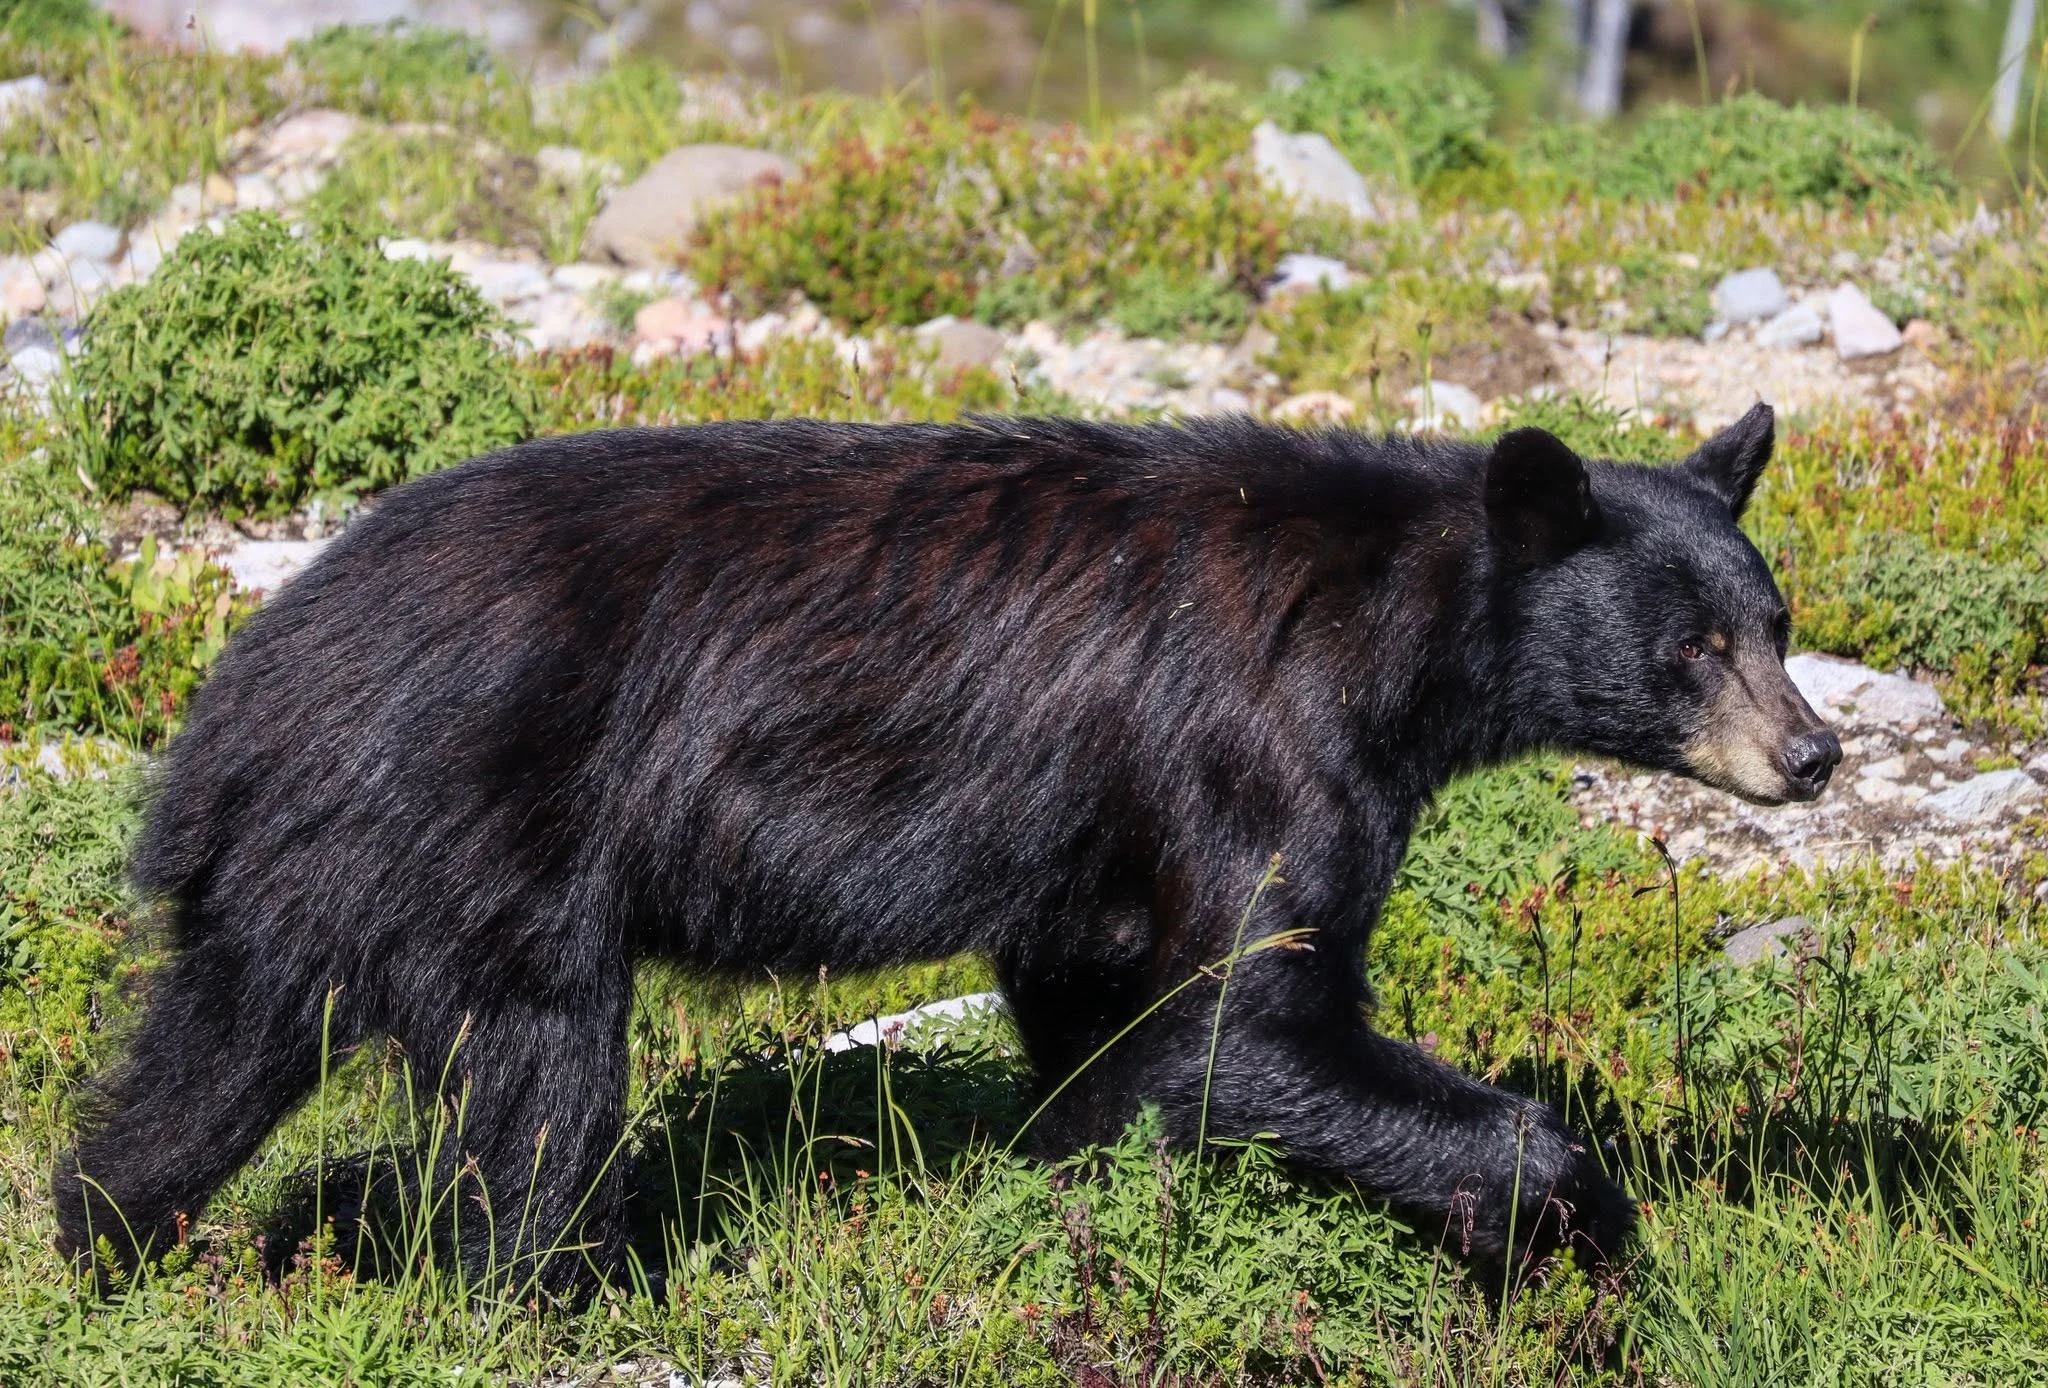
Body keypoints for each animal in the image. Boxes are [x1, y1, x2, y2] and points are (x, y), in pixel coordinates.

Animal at [54, 403, 1839, 1295]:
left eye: (1774, 620)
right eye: (1693, 650)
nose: (1813, 752)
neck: (1398, 624)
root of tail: (246, 698)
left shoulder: (1108, 830)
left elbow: (1105, 1004)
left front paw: (1083, 1204)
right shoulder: (1260, 745)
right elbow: (1245, 1023)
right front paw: (1585, 1238)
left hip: (306, 876)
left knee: (199, 1070)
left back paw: (106, 1241)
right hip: (480, 833)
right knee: (539, 1080)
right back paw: (557, 1290)